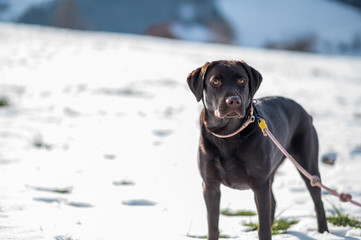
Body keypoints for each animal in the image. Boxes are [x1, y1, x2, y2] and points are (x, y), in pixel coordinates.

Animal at [187, 60, 328, 240]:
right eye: (215, 81)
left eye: (242, 81)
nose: (234, 101)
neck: (228, 135)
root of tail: (305, 112)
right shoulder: (210, 185)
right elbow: (213, 226)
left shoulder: (260, 184)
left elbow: (264, 228)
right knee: (273, 201)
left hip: (306, 163)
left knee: (317, 201)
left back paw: (323, 232)